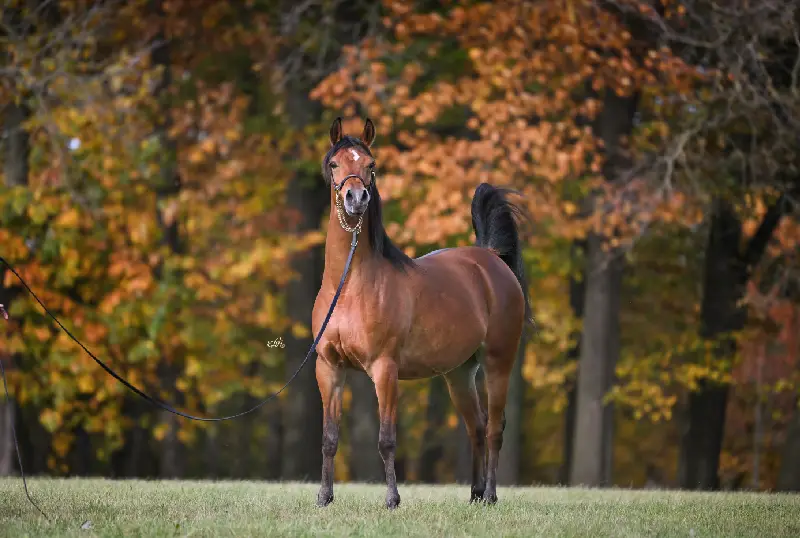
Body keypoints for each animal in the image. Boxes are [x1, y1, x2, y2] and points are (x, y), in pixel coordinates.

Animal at [312, 117, 532, 506]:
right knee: (476, 426)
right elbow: (329, 438)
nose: (356, 198)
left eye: (371, 166)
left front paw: (392, 500)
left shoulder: (384, 369)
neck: (351, 285)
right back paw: (475, 494)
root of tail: (491, 258)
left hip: (498, 362)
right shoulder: (328, 368)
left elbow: (386, 440)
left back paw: (491, 495)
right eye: (335, 163)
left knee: (494, 427)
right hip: (459, 373)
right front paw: (324, 498)